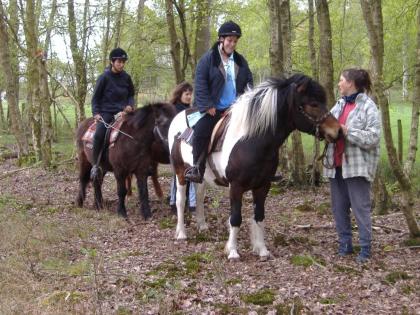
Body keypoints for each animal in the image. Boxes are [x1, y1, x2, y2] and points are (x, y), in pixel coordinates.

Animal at [169, 75, 342, 260]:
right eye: (313, 104)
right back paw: (181, 233)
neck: (251, 141)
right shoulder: (236, 187)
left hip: (201, 177)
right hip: (180, 173)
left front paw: (262, 250)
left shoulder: (263, 185)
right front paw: (233, 251)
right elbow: (235, 218)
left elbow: (259, 216)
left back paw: (202, 226)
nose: (338, 131)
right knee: (180, 201)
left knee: (200, 197)